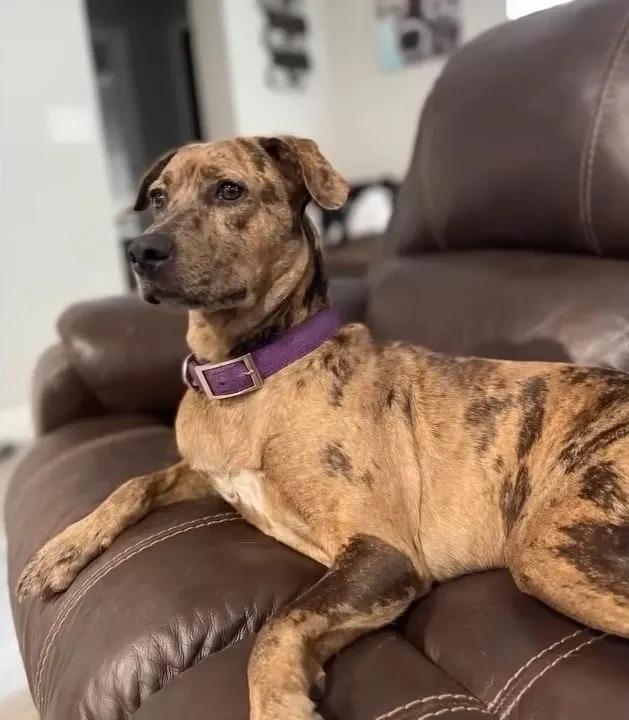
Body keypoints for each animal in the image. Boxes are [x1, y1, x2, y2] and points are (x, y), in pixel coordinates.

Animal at [17, 136, 628, 720]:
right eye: (160, 197)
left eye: (229, 190)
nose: (140, 251)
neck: (251, 370)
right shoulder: (206, 475)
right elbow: (135, 483)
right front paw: (60, 552)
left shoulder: (382, 554)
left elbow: (279, 624)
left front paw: (278, 704)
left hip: (550, 549)